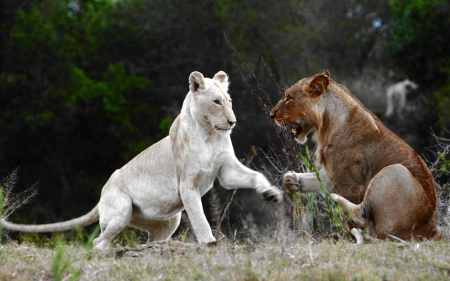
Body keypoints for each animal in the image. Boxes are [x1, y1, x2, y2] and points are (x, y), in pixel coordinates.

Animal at [0, 71, 284, 248]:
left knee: (151, 241)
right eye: (216, 102)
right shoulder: (187, 184)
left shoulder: (225, 171)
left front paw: (272, 194)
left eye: (229, 100)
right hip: (121, 211)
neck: (210, 135)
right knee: (98, 241)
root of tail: (102, 193)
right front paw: (208, 242)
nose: (232, 122)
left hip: (168, 221)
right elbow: (199, 216)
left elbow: (255, 176)